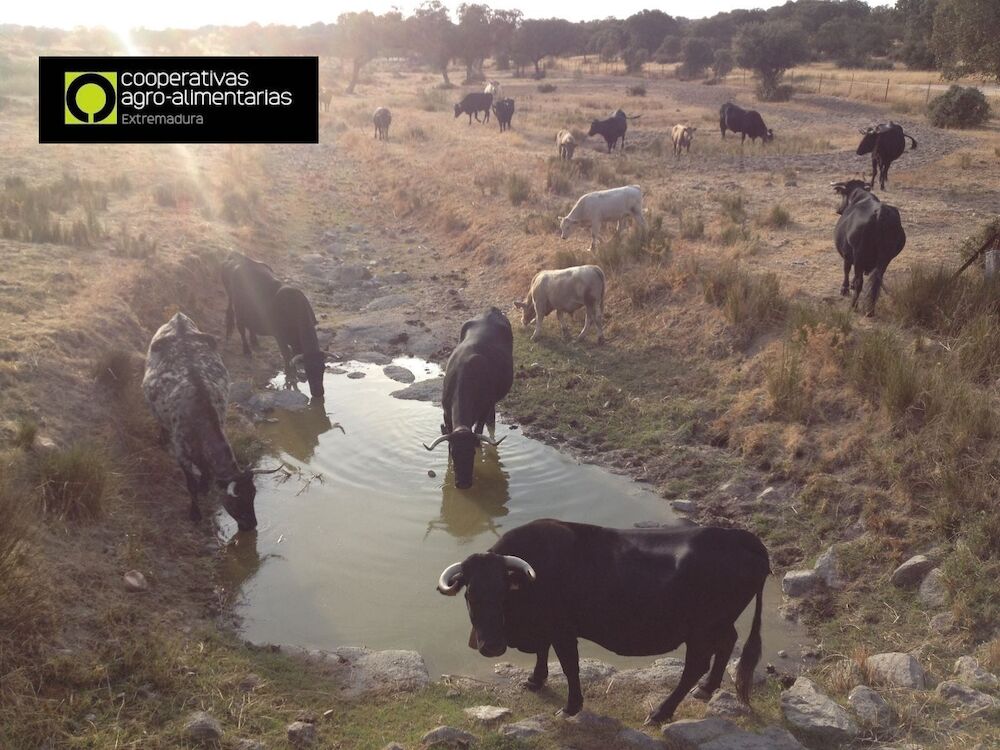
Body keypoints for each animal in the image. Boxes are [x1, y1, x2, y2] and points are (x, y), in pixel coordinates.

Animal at [139, 314, 276, 532]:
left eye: (253, 494)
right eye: (237, 500)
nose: (251, 525)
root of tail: (178, 318)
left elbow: (205, 474)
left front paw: (204, 487)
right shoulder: (181, 453)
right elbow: (191, 485)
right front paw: (195, 513)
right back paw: (161, 438)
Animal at [221, 253, 326, 400]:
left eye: (323, 369)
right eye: (308, 369)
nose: (318, 392)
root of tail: (234, 258)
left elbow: (293, 355)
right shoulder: (279, 336)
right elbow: (287, 355)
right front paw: (290, 374)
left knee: (250, 325)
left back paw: (255, 341)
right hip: (238, 308)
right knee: (241, 327)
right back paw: (247, 350)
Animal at [434, 520, 768, 724]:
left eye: (504, 592)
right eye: (470, 594)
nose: (491, 646)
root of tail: (738, 536)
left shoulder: (563, 630)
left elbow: (569, 666)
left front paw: (571, 707)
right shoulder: (545, 627)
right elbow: (543, 652)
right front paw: (535, 680)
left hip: (700, 630)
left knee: (695, 665)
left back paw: (661, 713)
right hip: (721, 622)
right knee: (728, 643)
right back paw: (707, 688)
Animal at [828, 181, 908, 316]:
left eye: (843, 195)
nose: (838, 210)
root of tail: (879, 212)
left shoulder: (846, 254)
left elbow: (846, 270)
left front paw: (844, 289)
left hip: (859, 254)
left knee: (859, 281)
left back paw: (854, 306)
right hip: (885, 259)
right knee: (876, 281)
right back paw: (870, 310)